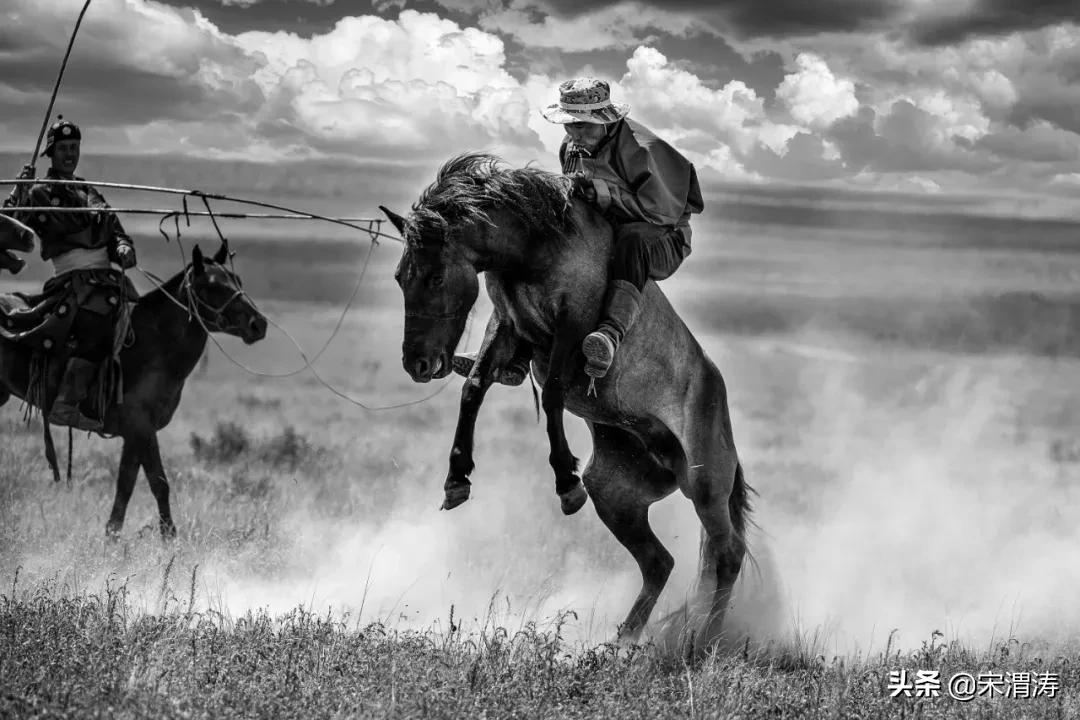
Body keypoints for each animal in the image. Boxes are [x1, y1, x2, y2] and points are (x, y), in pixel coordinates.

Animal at [0, 239, 268, 538]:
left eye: (237, 280)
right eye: (213, 286)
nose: (258, 324)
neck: (156, 343)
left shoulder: (137, 432)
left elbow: (132, 484)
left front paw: (121, 536)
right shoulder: (139, 427)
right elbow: (154, 483)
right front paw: (162, 538)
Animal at [379, 153, 753, 657]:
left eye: (437, 275)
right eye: (401, 277)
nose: (417, 363)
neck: (537, 245)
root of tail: (717, 389)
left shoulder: (570, 327)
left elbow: (555, 394)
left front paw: (565, 483)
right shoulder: (507, 326)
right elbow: (474, 388)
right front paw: (456, 481)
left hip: (705, 485)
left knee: (726, 553)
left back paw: (705, 642)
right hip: (617, 496)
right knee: (660, 562)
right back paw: (624, 640)